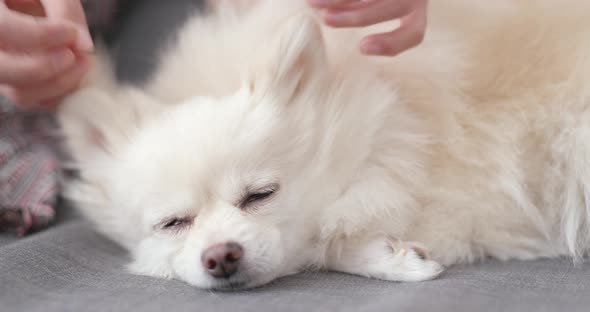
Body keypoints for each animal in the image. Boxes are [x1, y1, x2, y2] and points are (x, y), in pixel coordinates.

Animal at [59, 1, 590, 290]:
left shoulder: (475, 192)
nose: (221, 255)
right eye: (172, 224)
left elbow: (328, 237)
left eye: (261, 195)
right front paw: (392, 255)